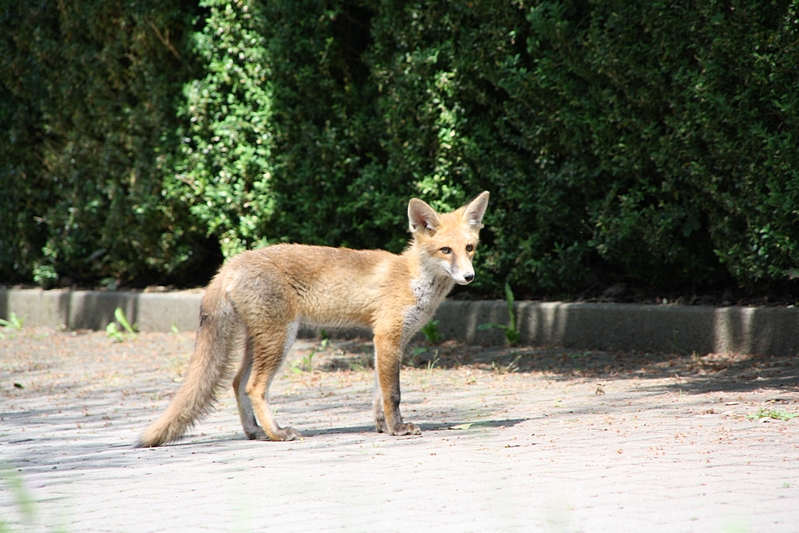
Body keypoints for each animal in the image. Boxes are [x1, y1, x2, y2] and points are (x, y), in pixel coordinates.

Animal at [135, 191, 489, 447]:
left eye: (470, 248)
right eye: (445, 250)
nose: (469, 277)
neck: (412, 278)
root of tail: (231, 264)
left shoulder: (391, 342)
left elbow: (379, 392)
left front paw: (383, 427)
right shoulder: (387, 336)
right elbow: (393, 394)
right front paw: (398, 429)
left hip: (260, 339)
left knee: (236, 383)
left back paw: (255, 432)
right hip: (281, 338)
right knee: (254, 387)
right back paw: (278, 433)